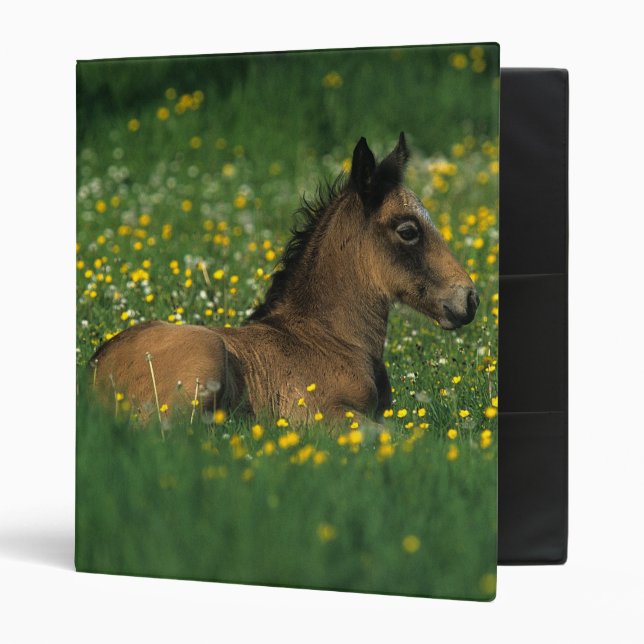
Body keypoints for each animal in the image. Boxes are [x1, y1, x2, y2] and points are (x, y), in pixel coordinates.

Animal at [89, 133, 479, 425]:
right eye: (408, 230)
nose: (469, 299)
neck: (329, 338)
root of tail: (94, 372)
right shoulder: (323, 414)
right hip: (205, 357)